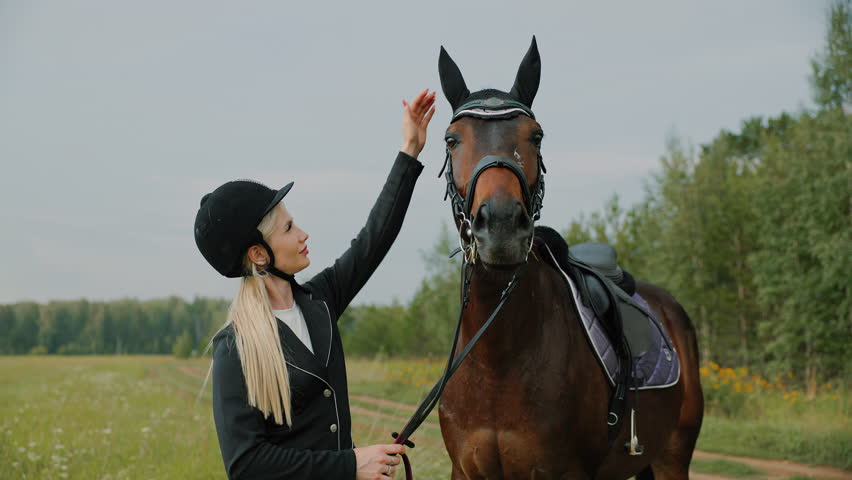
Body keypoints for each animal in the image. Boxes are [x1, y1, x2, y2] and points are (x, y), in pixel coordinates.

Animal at [435, 38, 704, 480]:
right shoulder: (466, 470)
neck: (498, 362)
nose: (502, 228)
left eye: (536, 136)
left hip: (672, 459)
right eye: (451, 140)